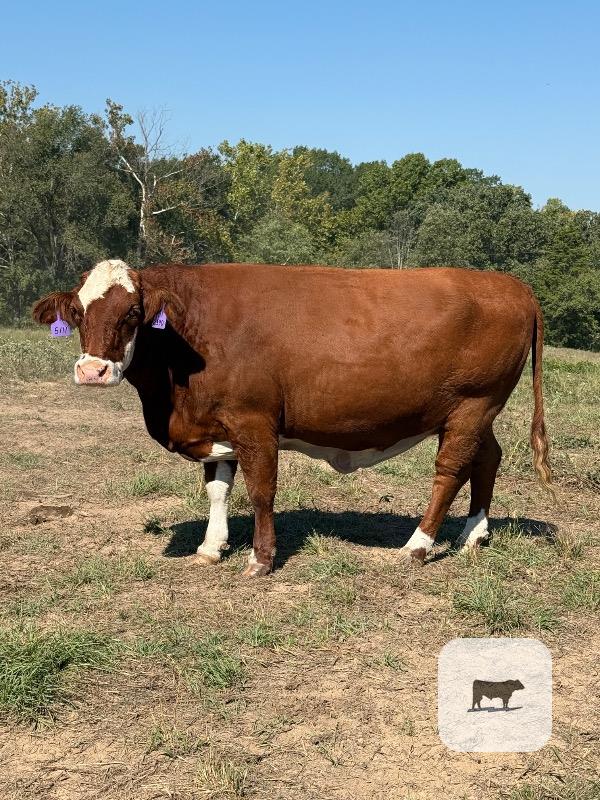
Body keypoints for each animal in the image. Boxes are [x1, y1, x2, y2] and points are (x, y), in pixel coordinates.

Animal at [32, 259, 552, 577]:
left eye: (133, 312)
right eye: (77, 311)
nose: (93, 371)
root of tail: (515, 286)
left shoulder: (254, 422)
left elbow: (261, 491)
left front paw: (260, 560)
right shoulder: (216, 425)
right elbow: (218, 489)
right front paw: (210, 547)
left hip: (472, 404)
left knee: (449, 471)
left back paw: (418, 546)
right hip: (478, 412)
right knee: (487, 459)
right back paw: (473, 534)